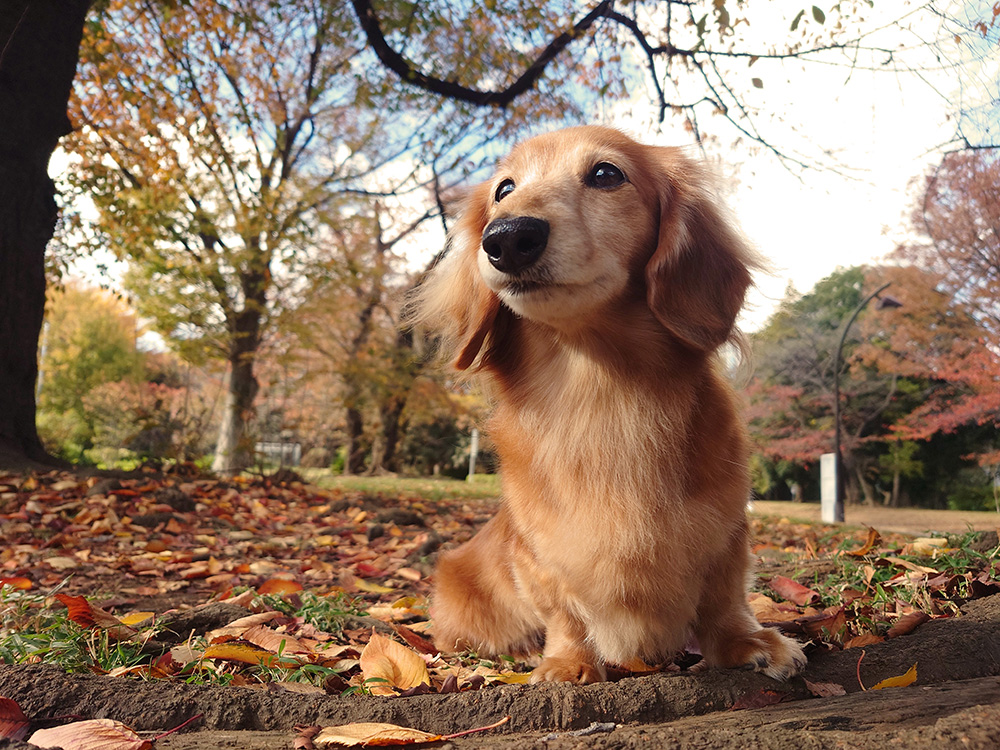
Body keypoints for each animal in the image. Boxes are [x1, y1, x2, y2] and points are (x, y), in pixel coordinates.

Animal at [414, 125, 806, 684]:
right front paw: (567, 662)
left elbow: (724, 598)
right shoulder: (541, 555)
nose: (506, 237)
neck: (601, 390)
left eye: (605, 174)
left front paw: (745, 642)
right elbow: (564, 611)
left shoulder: (727, 532)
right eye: (503, 190)